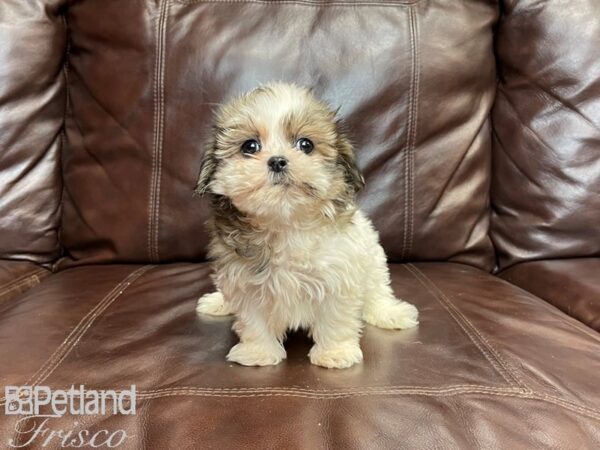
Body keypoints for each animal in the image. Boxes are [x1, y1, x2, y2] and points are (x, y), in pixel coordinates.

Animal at [196, 82, 418, 368]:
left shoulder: (340, 275)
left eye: (306, 144)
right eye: (250, 146)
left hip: (373, 260)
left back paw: (390, 313)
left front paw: (335, 352)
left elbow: (336, 319)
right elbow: (254, 321)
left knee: (377, 291)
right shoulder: (244, 281)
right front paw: (258, 352)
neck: (286, 222)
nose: (277, 160)